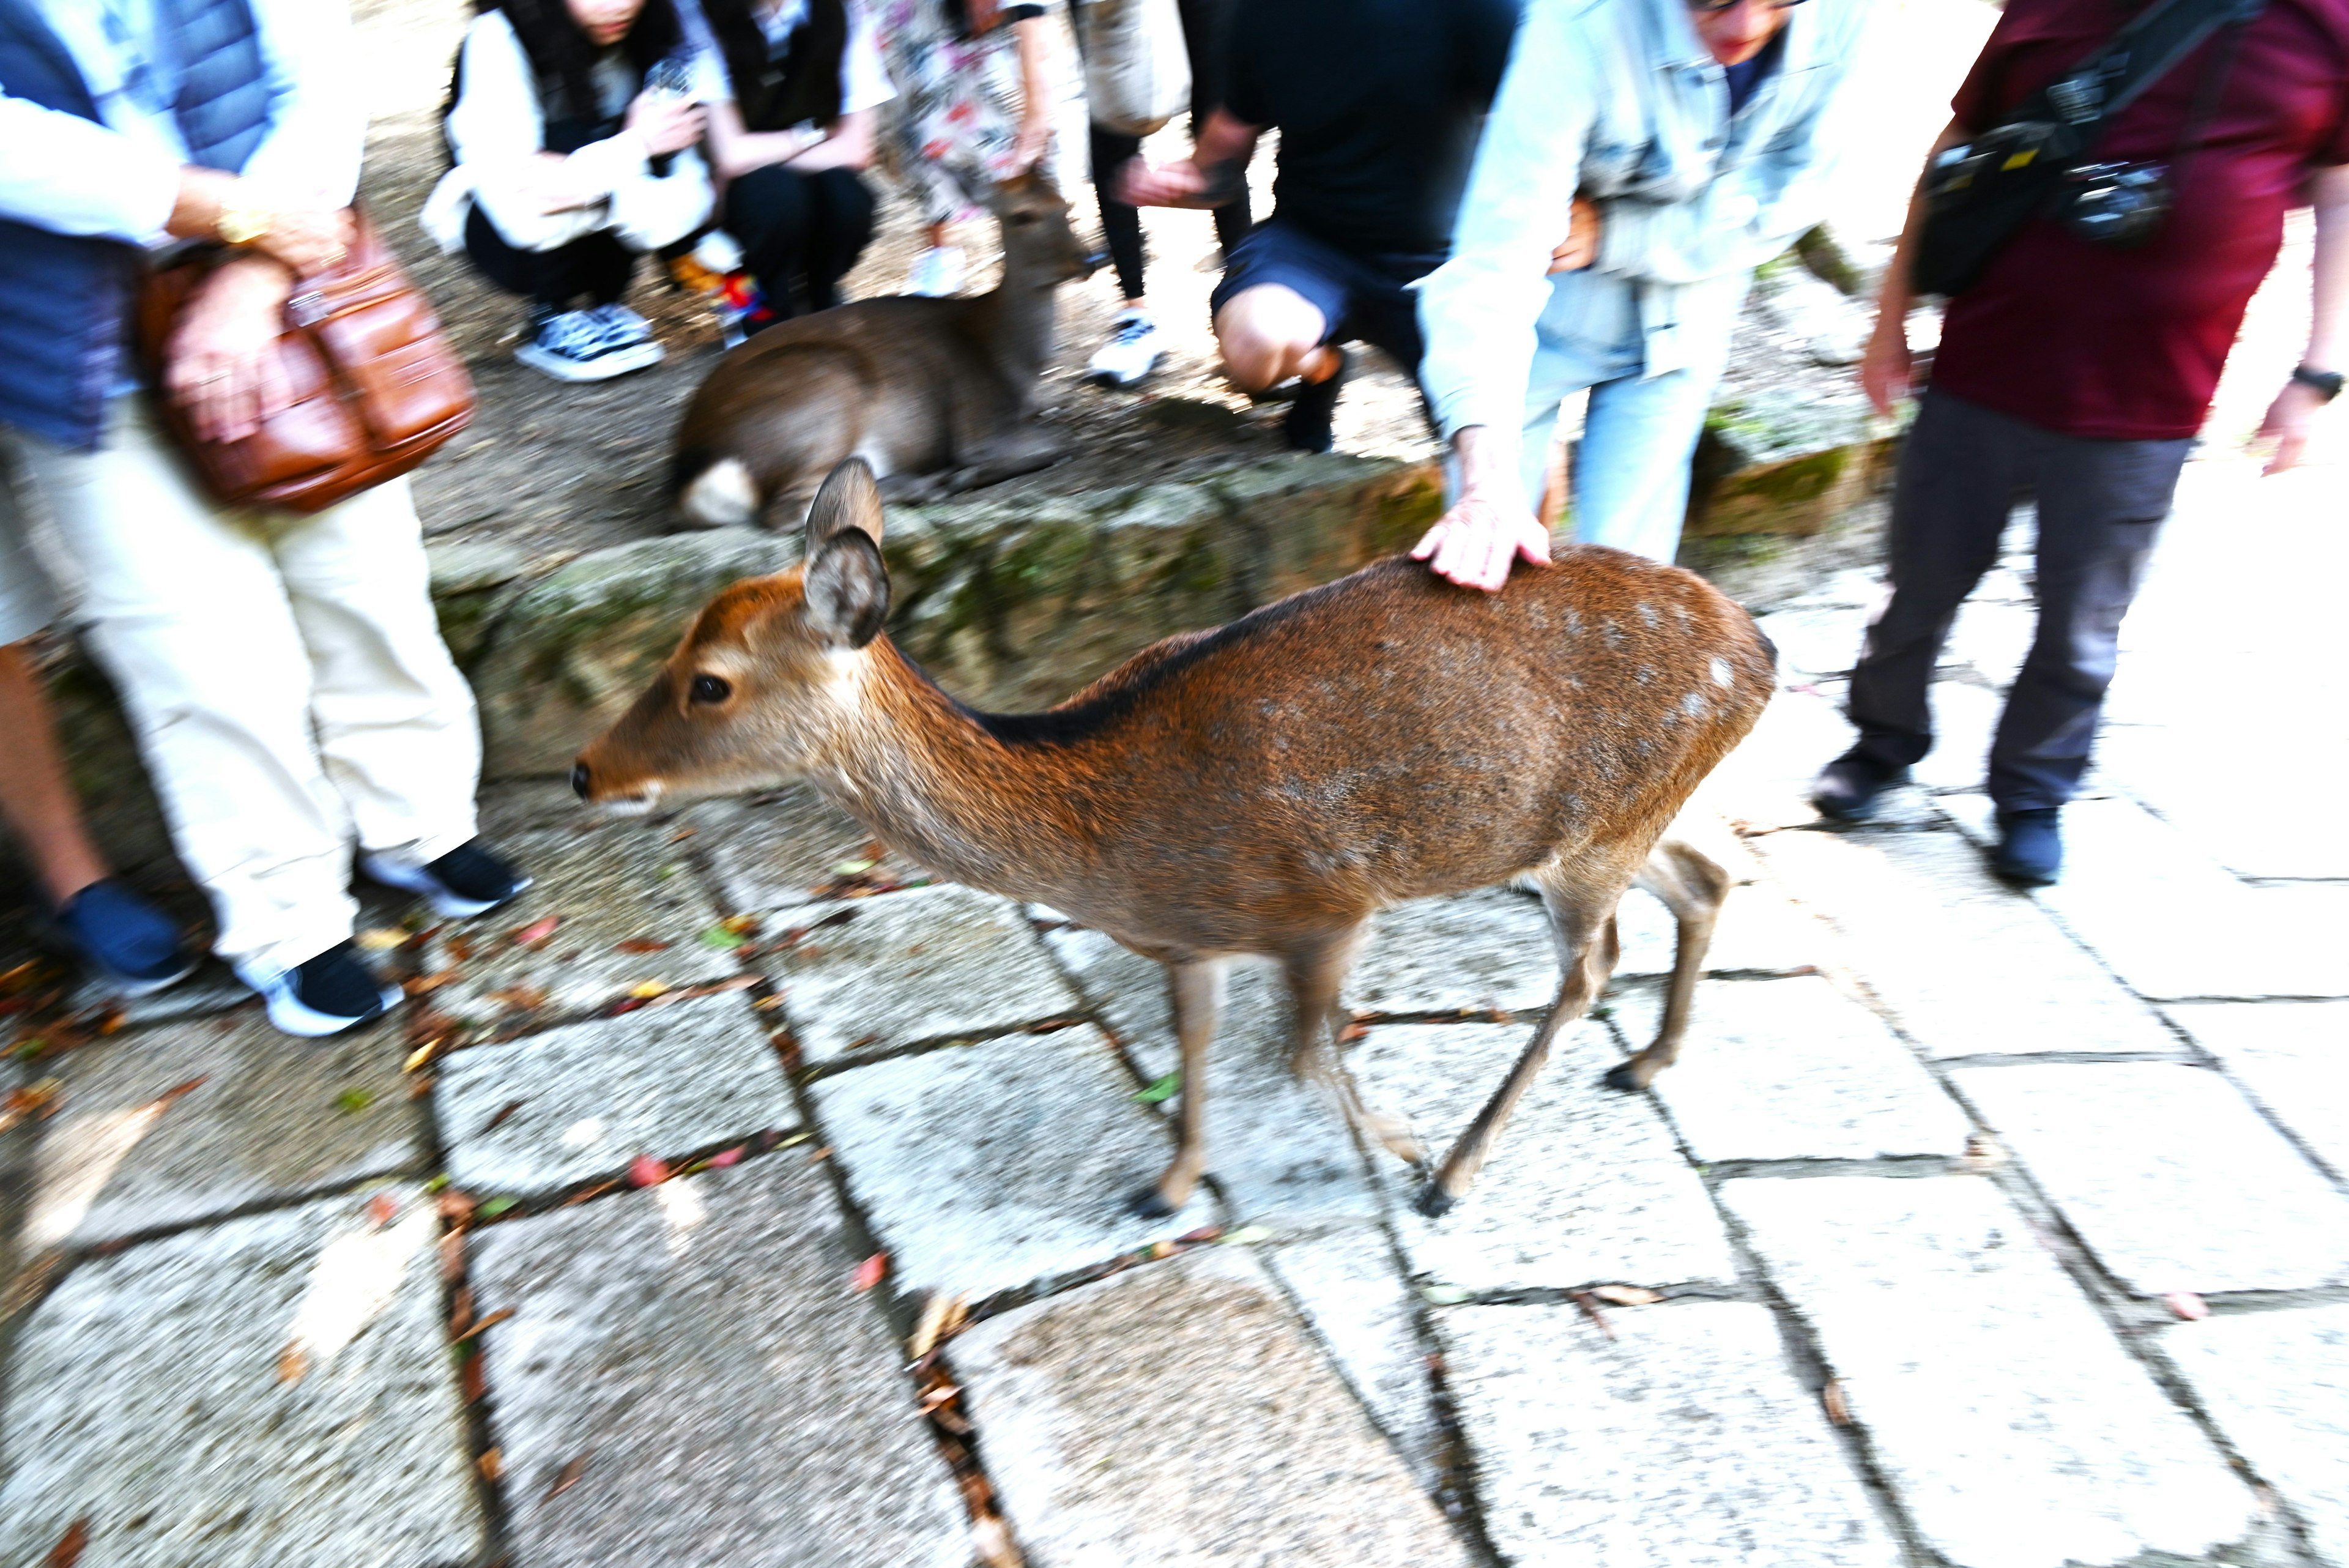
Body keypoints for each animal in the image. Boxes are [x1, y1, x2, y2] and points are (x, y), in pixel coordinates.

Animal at [577, 461, 1766, 1222]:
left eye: (710, 681)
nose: (590, 770)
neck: (1111, 849)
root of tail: (1760, 647)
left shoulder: (1328, 907)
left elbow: (1303, 1056)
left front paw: (1404, 1144)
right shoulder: (1193, 942)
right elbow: (1190, 1042)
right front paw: (1170, 1184)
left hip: (1592, 835)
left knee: (1591, 967)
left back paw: (1460, 1169)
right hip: (1637, 814)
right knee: (1710, 876)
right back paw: (1648, 1061)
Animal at [672, 169, 1089, 531]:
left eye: (1065, 205)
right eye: (1023, 215)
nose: (1087, 259)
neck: (1009, 359)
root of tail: (694, 481)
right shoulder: (979, 422)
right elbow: (1059, 441)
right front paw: (966, 473)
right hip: (828, 384)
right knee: (791, 511)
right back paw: (932, 484)